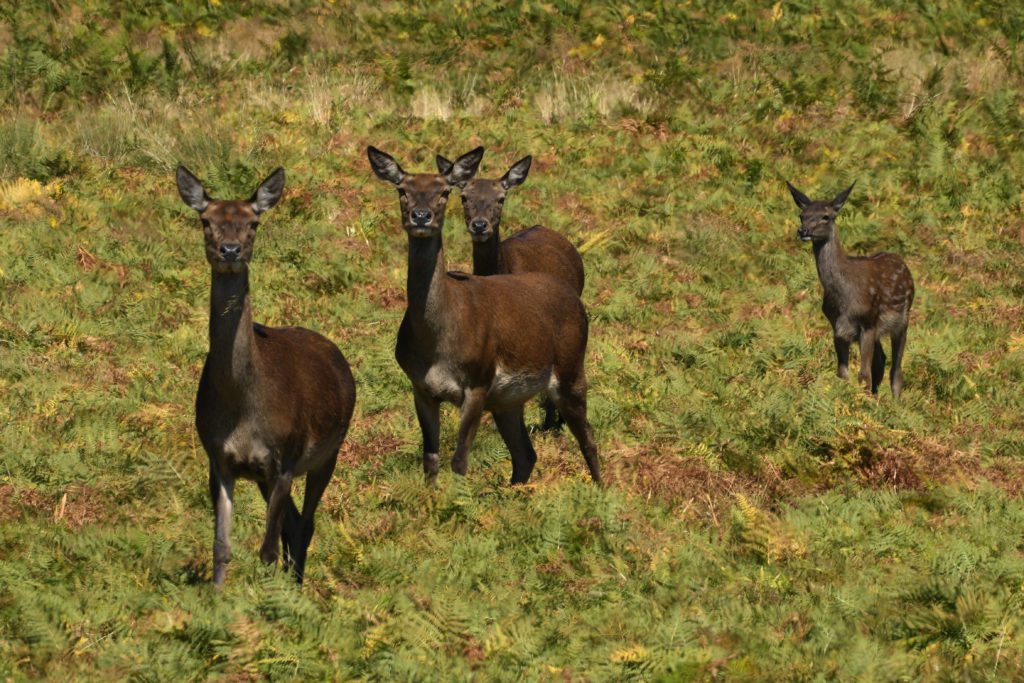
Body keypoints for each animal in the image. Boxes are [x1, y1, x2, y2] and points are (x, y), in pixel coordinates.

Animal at [174, 162, 354, 585]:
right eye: (206, 221)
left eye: (253, 223)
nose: (230, 250)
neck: (243, 409)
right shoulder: (220, 460)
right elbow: (221, 547)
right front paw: (218, 596)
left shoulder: (284, 460)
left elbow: (267, 551)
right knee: (294, 524)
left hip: (329, 451)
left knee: (305, 524)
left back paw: (297, 586)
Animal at [786, 180, 917, 401]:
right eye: (802, 215)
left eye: (826, 216)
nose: (803, 231)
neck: (844, 299)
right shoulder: (838, 328)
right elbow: (842, 374)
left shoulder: (868, 322)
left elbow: (863, 375)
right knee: (880, 361)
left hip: (902, 319)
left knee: (896, 370)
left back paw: (894, 404)